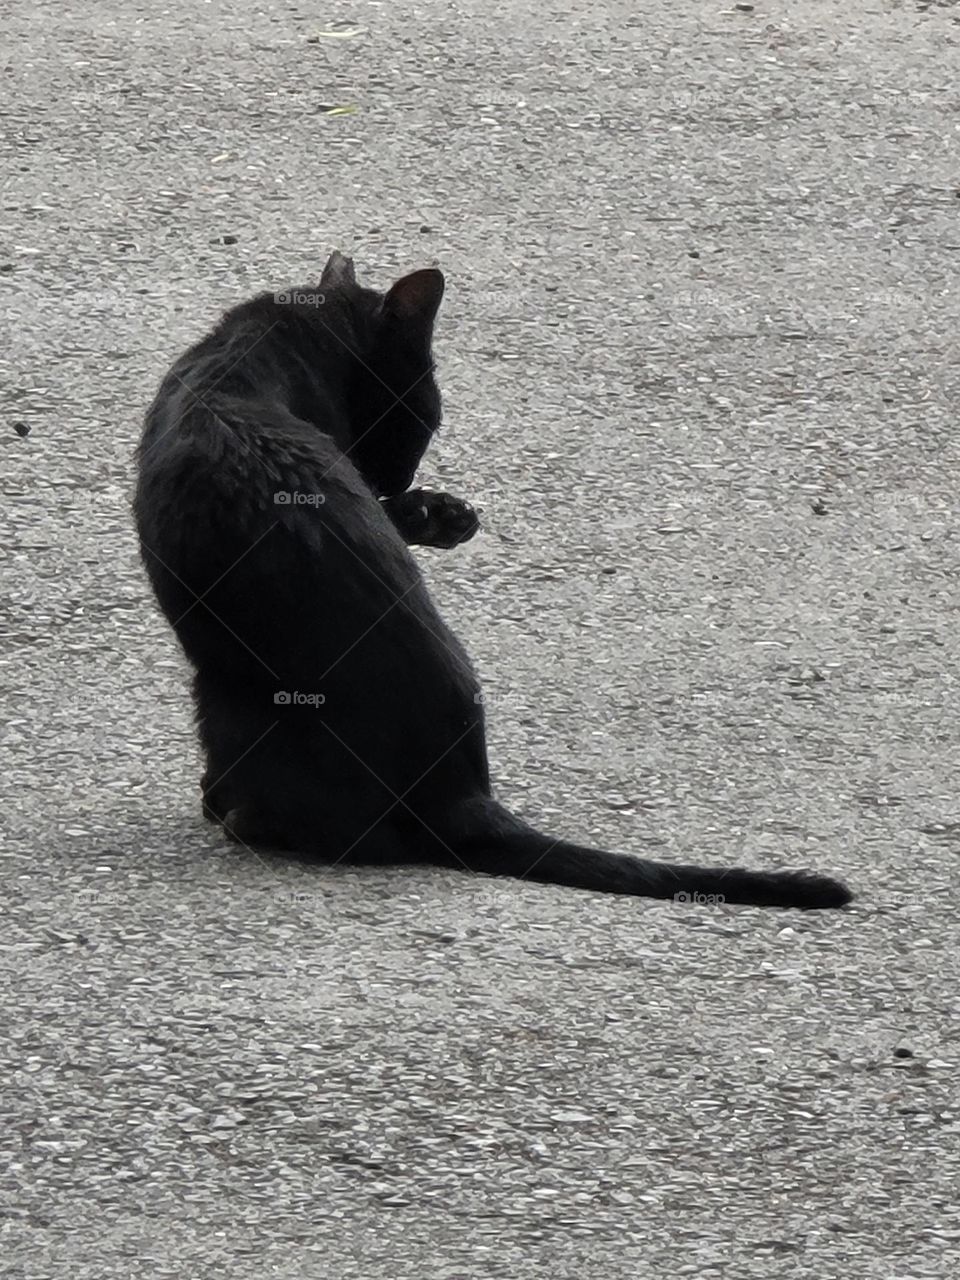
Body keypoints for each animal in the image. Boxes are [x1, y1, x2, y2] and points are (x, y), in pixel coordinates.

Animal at [133, 252, 849, 911]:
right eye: (423, 418)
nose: (399, 477)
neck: (254, 355)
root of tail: (462, 796)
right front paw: (439, 515)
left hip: (220, 688)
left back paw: (232, 812)